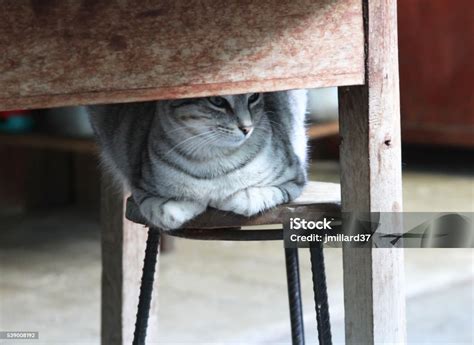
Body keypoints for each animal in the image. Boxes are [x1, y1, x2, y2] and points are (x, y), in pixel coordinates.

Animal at [90, 90, 308, 230]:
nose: (247, 128)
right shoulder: (141, 187)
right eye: (217, 101)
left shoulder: (294, 177)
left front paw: (224, 198)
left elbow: (251, 198)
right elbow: (166, 212)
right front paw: (196, 202)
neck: (216, 159)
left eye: (254, 97)